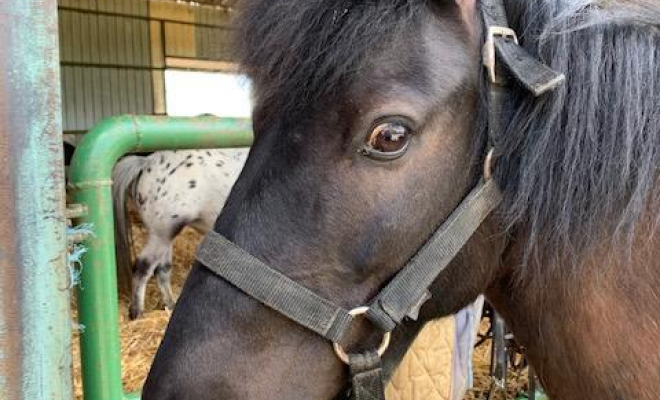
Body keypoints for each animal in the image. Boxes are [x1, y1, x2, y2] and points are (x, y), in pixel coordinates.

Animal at [113, 148, 248, 320]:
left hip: (163, 235)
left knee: (161, 269)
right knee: (143, 268)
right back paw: (137, 313)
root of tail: (146, 163)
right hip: (162, 233)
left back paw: (170, 306)